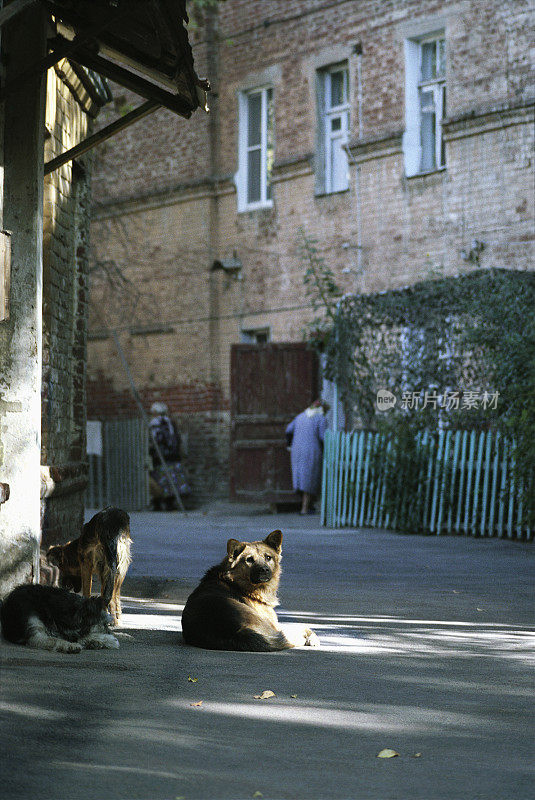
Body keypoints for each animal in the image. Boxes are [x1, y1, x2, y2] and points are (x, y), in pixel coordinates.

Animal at [182, 528, 320, 652]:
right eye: (249, 560)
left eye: (268, 557)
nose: (264, 570)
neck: (235, 582)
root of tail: (236, 633)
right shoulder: (275, 626)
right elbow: (302, 626)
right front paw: (312, 637)